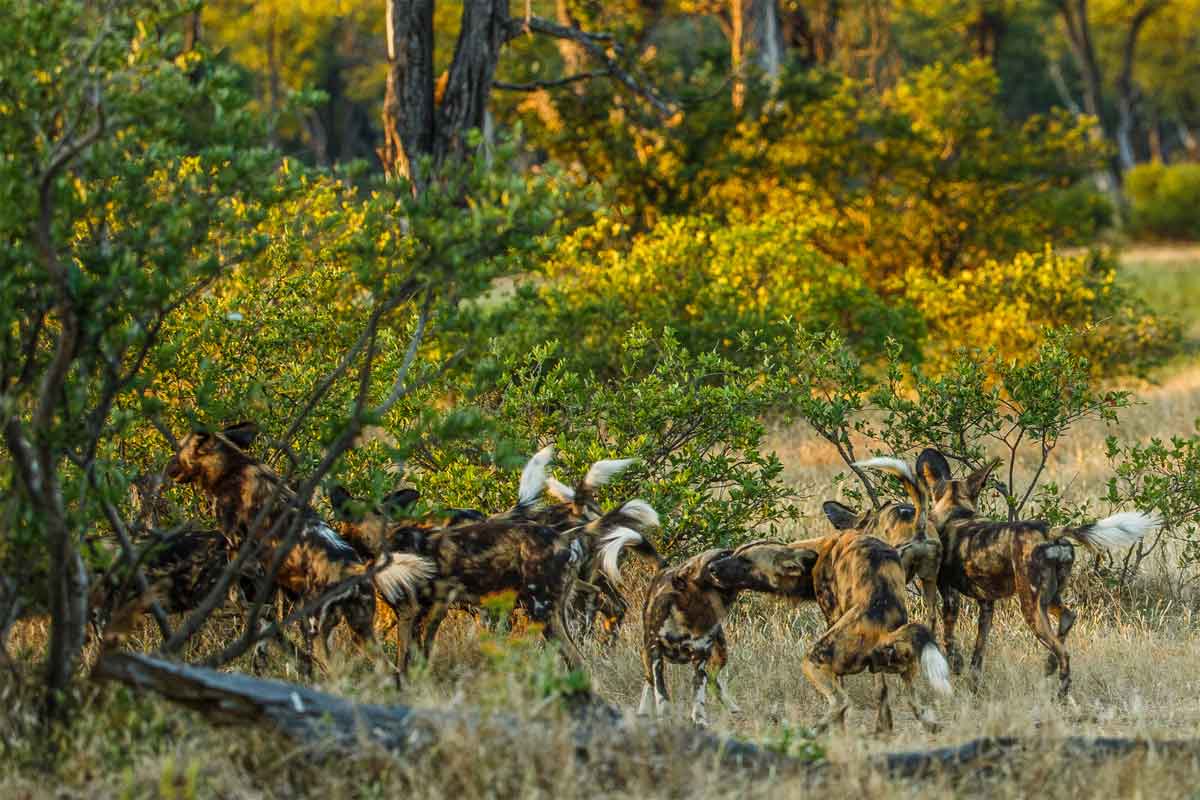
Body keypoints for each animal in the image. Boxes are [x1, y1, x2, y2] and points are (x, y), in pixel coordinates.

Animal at [165, 422, 432, 671]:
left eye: (178, 451)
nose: (168, 468)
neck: (233, 467)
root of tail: (354, 570)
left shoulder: (242, 552)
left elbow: (236, 595)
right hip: (361, 630)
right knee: (389, 669)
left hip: (318, 629)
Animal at [638, 544, 816, 724]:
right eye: (723, 554)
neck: (694, 610)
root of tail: (664, 569)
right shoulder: (655, 652)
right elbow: (661, 692)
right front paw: (664, 715)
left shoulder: (700, 658)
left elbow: (698, 695)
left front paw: (699, 719)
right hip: (648, 654)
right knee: (649, 680)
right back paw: (643, 711)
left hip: (720, 656)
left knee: (712, 680)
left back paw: (731, 707)